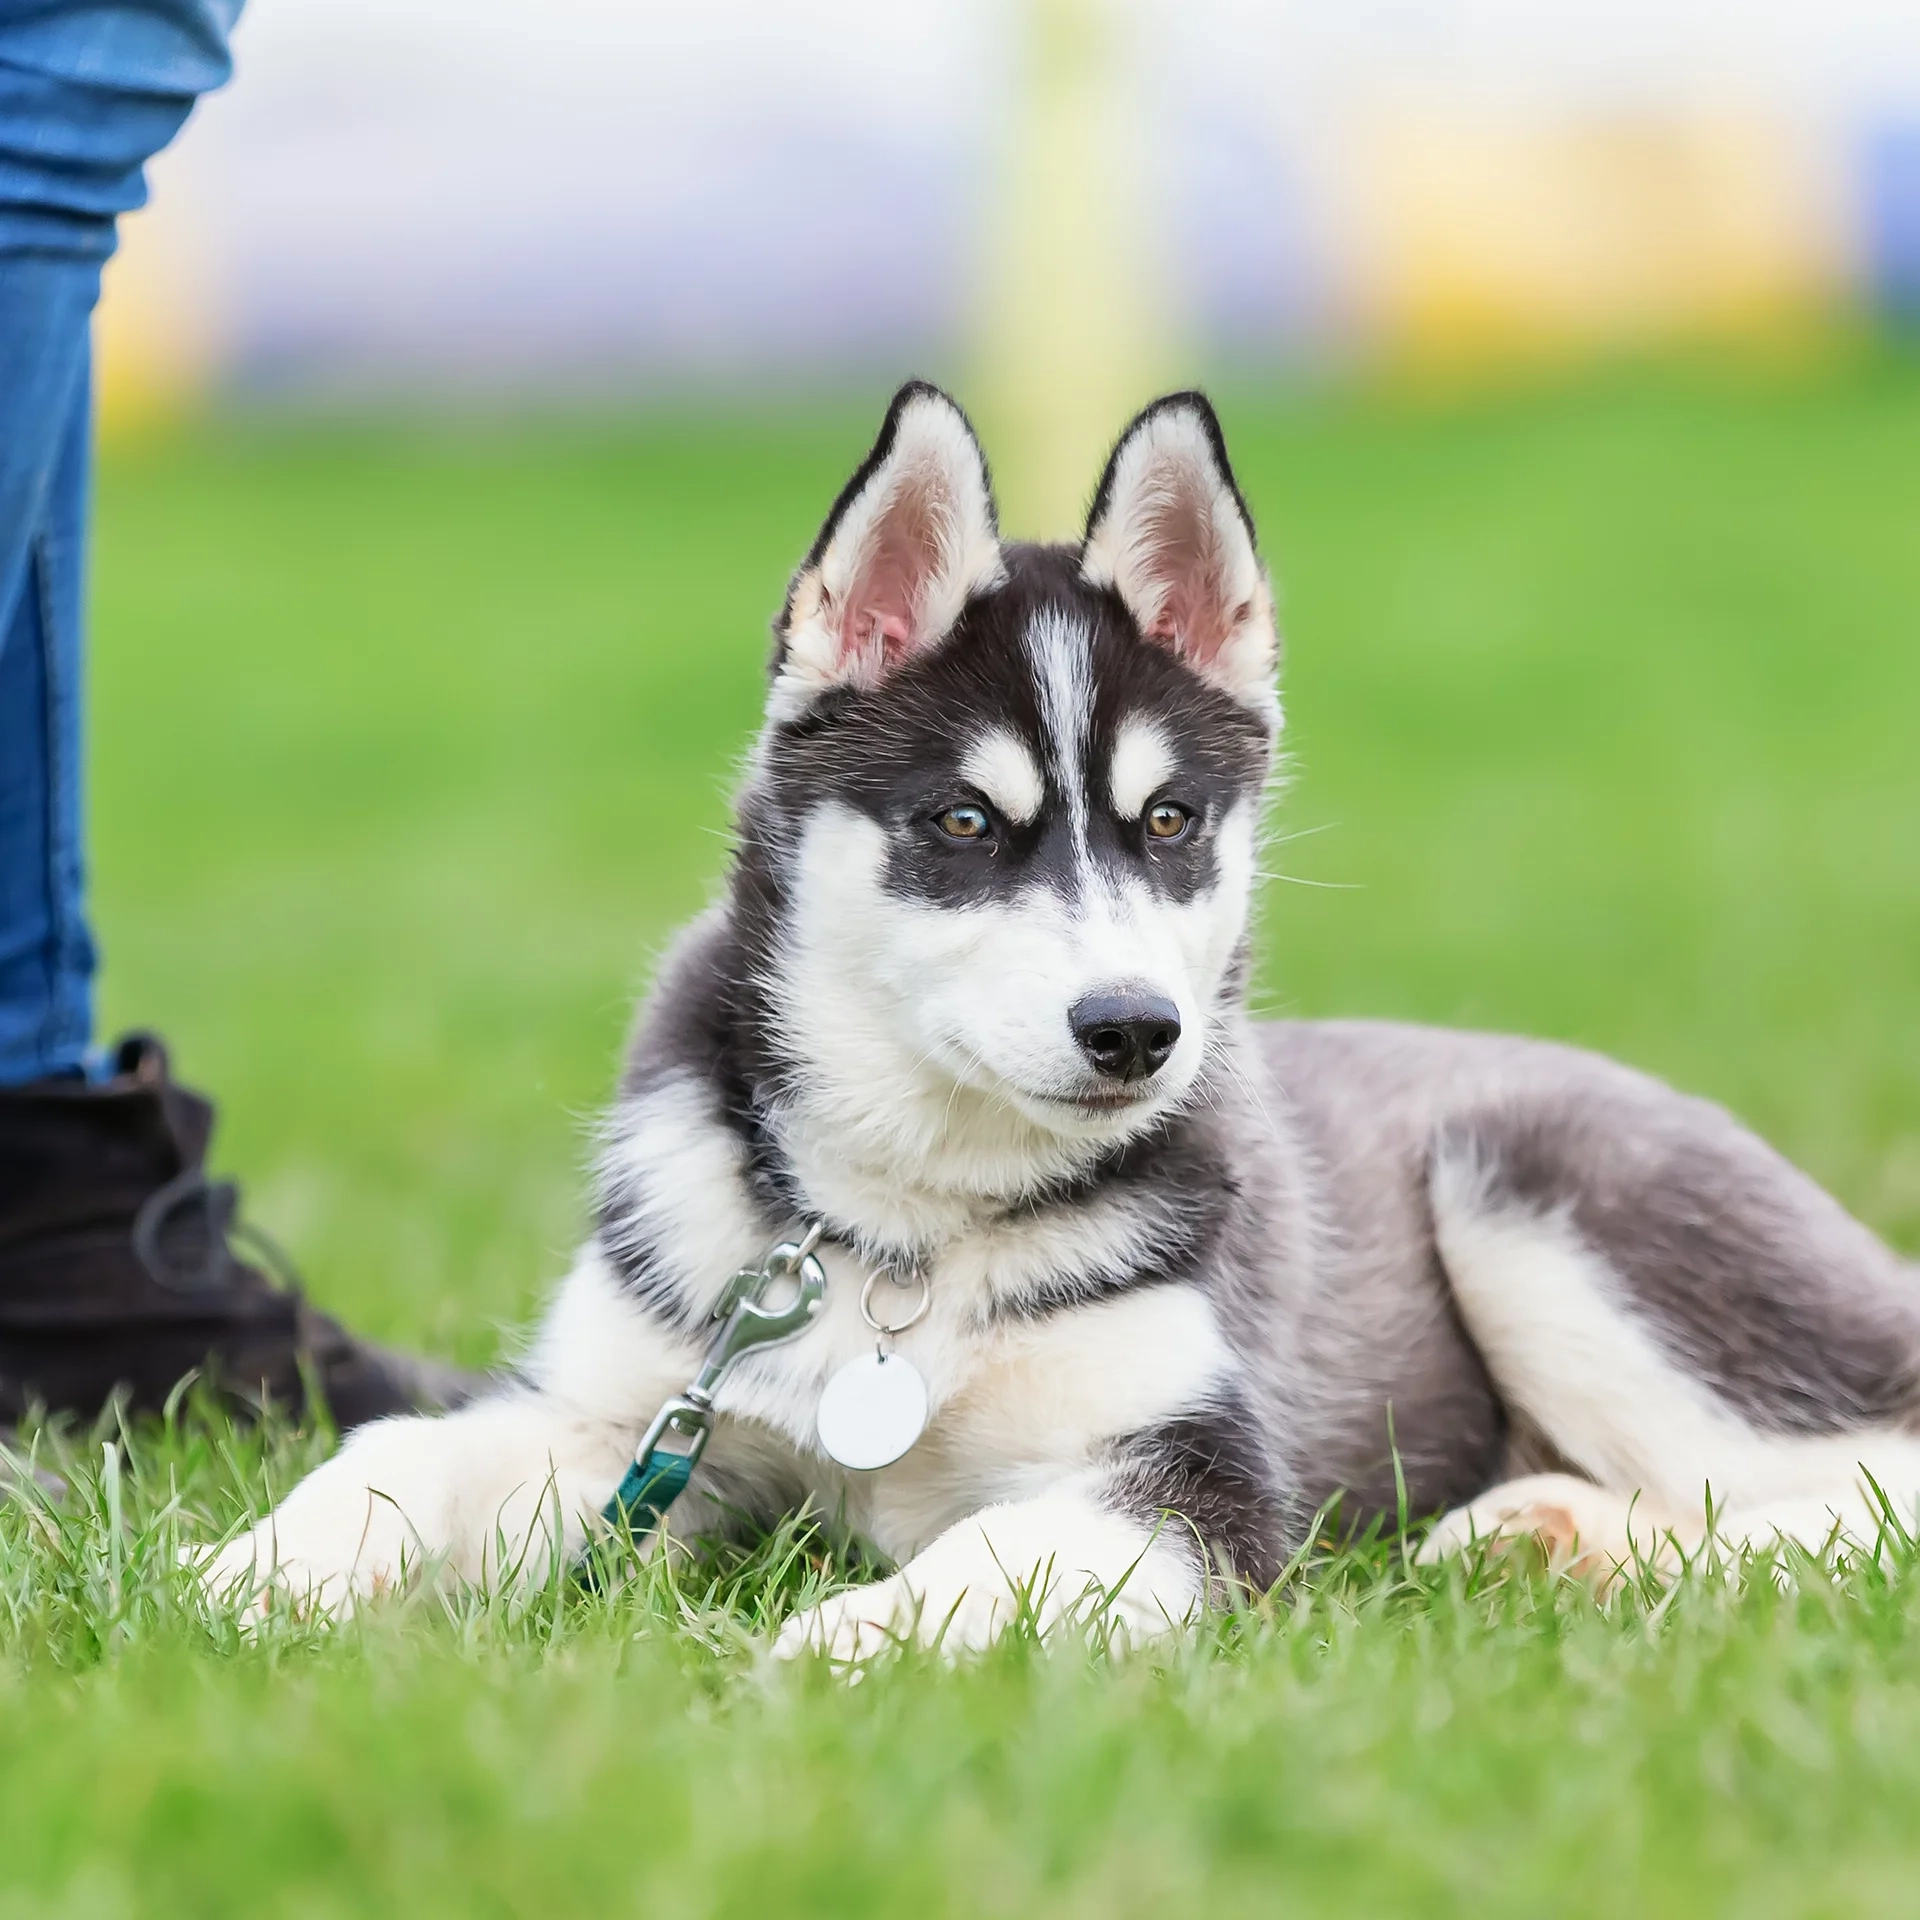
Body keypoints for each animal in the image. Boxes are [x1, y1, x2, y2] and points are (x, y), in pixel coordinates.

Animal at [206, 385, 1920, 1651]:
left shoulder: (1195, 1484)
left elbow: (996, 1561)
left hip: (1549, 1206)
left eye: (1169, 825)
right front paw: (265, 1568)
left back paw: (1577, 1537)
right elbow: (407, 1448)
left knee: (1870, 1482)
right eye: (965, 824)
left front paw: (849, 1644)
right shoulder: (631, 1412)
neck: (910, 1238)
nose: (1135, 1033)